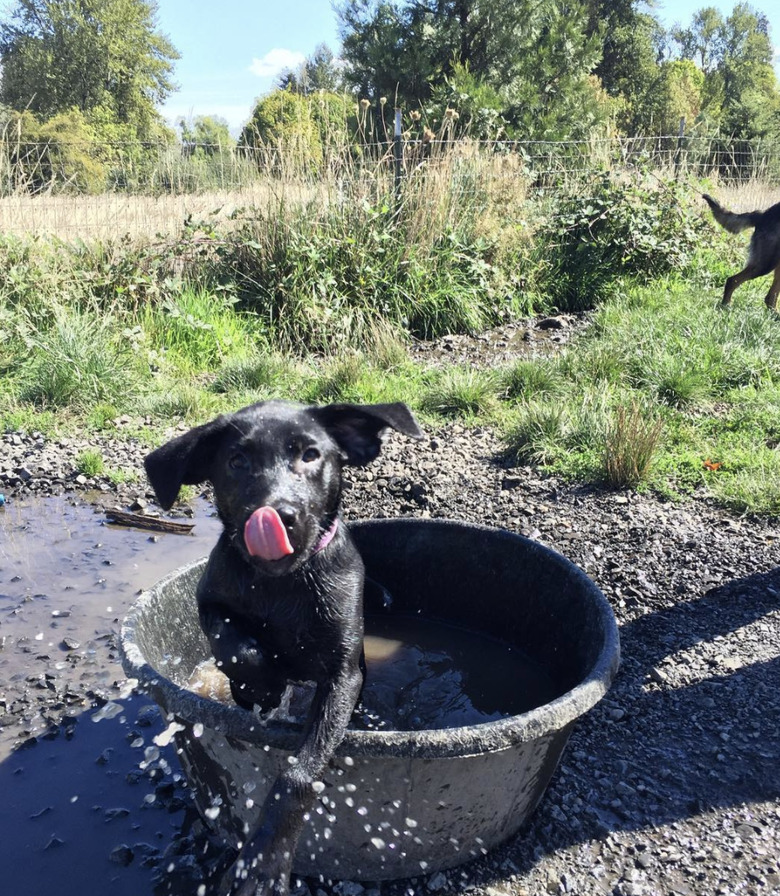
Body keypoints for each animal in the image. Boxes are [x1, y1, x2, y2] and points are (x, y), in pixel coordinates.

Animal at [143, 400, 424, 896]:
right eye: (237, 461)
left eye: (310, 454)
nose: (279, 515)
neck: (282, 584)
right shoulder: (211, 600)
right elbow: (238, 647)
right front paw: (263, 686)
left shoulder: (343, 676)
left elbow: (298, 774)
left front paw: (263, 863)